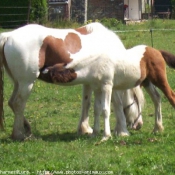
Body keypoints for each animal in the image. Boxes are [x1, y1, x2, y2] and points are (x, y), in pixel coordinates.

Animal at [0, 22, 144, 140]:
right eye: (137, 101)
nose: (139, 125)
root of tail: (9, 36)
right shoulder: (108, 82)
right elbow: (117, 104)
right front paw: (122, 131)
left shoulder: (90, 82)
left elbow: (86, 103)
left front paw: (84, 129)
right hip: (27, 83)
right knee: (19, 103)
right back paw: (19, 134)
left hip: (18, 83)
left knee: (12, 103)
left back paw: (26, 129)